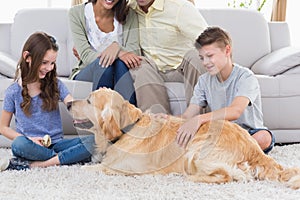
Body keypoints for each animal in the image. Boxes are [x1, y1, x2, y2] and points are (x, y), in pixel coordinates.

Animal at [67, 88, 300, 189]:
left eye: (88, 101)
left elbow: (90, 168)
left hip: (196, 149)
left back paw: (189, 177)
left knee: (229, 176)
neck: (126, 129)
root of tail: (255, 150)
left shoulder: (126, 169)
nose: (67, 104)